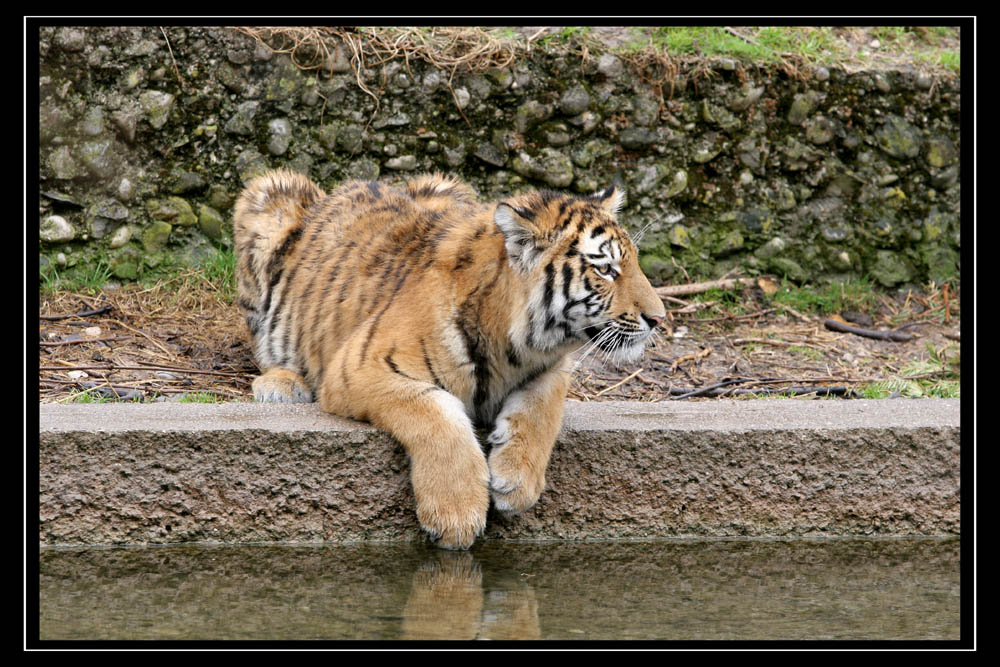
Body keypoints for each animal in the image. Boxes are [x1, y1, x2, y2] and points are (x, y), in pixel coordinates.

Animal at [232, 170, 664, 552]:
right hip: (269, 196)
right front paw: (456, 513)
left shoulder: (551, 370)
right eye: (605, 269)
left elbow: (542, 411)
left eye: (634, 263)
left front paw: (517, 483)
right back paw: (281, 384)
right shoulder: (359, 366)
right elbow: (435, 412)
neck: (515, 347)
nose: (659, 318)